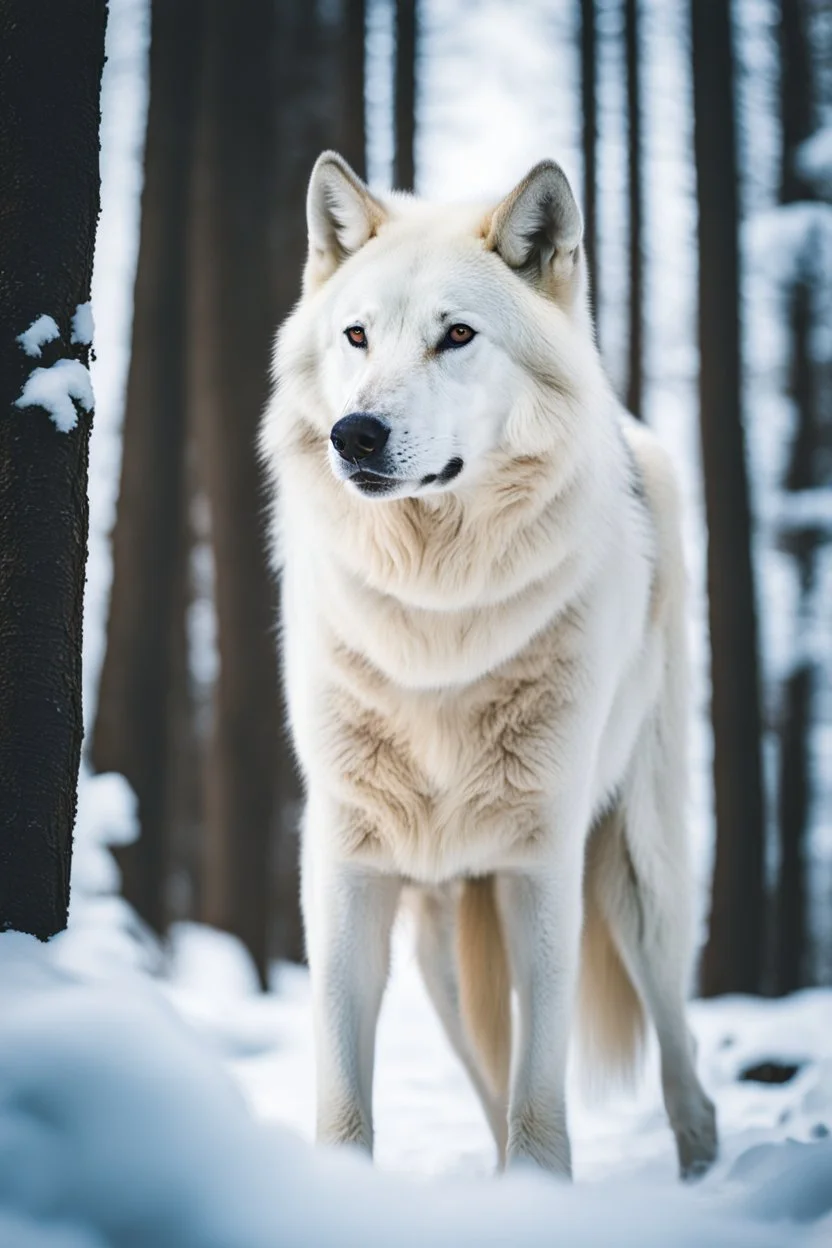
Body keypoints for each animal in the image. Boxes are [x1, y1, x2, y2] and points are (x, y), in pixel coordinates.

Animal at [261, 148, 723, 1178]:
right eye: (357, 336)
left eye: (458, 336)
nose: (356, 434)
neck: (438, 627)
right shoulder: (346, 869)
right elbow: (346, 1103)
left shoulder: (541, 869)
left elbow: (541, 1110)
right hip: (439, 938)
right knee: (487, 1078)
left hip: (636, 881)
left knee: (684, 1066)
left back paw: (710, 1173)